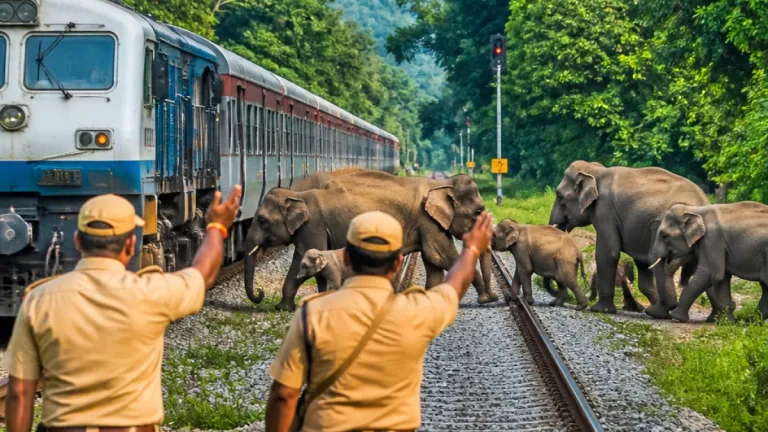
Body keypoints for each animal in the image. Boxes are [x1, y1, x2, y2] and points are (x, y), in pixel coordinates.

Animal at [548, 161, 724, 320]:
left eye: (559, 195)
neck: (596, 170)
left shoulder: (605, 212)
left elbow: (608, 253)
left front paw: (600, 310)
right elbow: (642, 264)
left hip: (662, 228)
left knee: (659, 261)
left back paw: (659, 312)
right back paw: (714, 318)